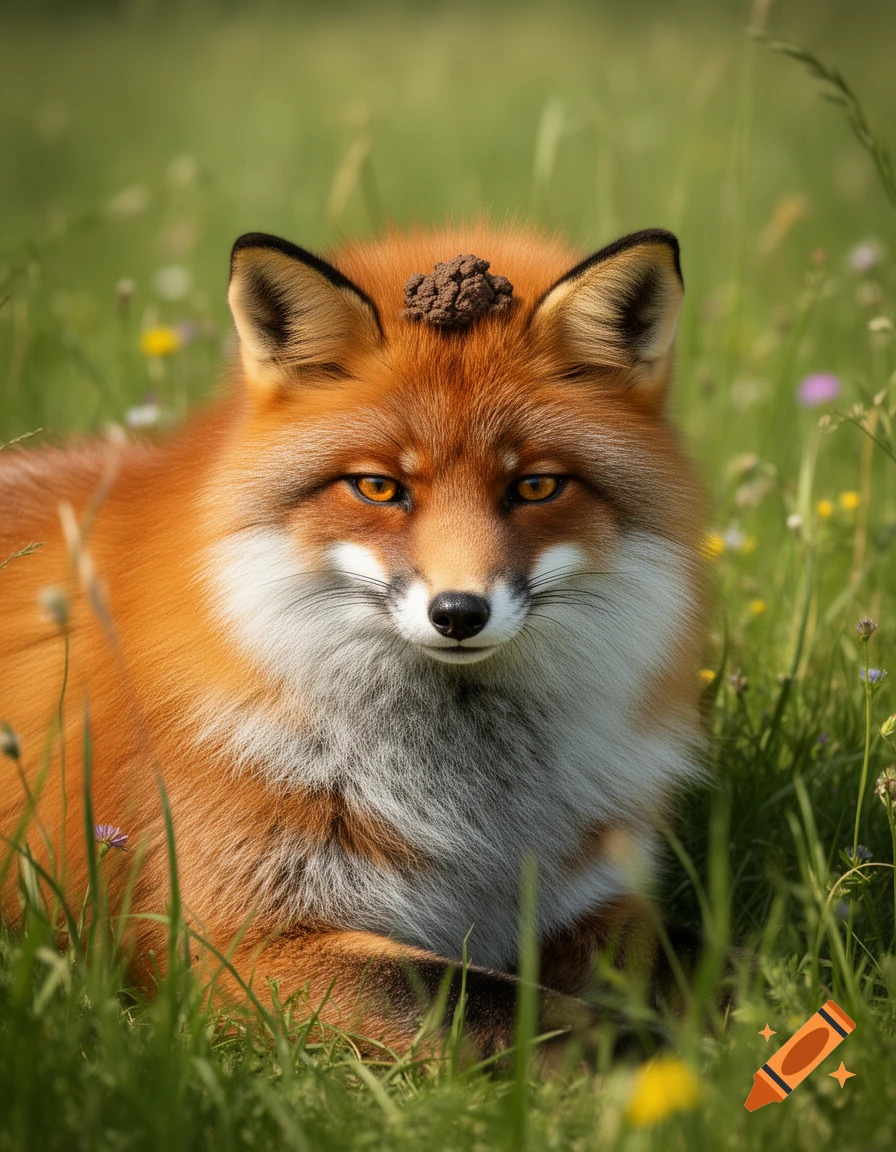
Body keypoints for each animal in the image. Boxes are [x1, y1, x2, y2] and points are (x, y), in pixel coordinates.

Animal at [0, 224, 705, 1057]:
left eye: (535, 486)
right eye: (377, 487)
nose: (458, 613)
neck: (477, 819)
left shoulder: (593, 898)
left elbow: (696, 959)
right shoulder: (235, 945)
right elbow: (505, 1006)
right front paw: (655, 1061)